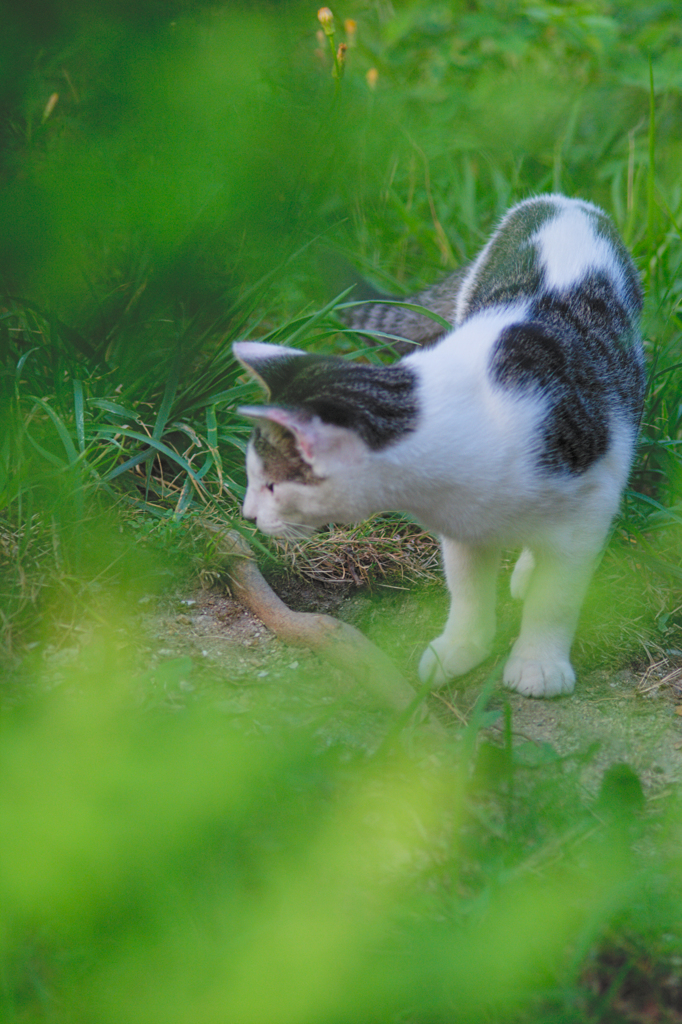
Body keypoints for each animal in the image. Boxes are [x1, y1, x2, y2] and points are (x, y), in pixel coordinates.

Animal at [232, 193, 643, 696]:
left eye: (271, 485)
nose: (248, 515)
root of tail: (562, 200)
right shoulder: (463, 527)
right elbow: (467, 588)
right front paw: (462, 647)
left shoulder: (590, 502)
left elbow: (557, 596)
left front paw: (538, 662)